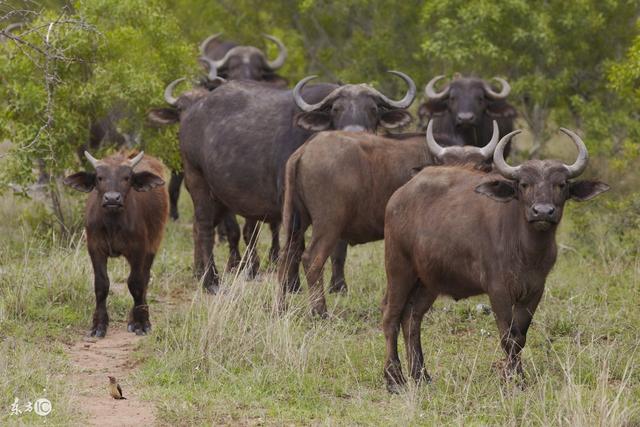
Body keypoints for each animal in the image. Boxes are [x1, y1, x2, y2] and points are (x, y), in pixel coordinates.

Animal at [62, 152, 168, 340]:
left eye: (127, 177)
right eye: (99, 177)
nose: (112, 198)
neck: (112, 224)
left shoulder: (139, 250)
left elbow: (136, 284)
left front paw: (141, 323)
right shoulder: (95, 249)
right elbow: (101, 285)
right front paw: (99, 325)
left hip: (153, 246)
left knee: (145, 279)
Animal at [180, 72, 418, 294]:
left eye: (373, 108)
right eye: (336, 109)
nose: (355, 132)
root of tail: (192, 113)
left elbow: (339, 248)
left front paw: (338, 285)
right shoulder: (290, 202)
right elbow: (296, 244)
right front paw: (292, 285)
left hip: (221, 196)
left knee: (201, 226)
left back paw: (200, 272)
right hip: (196, 179)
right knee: (204, 227)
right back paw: (211, 281)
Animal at [278, 122, 498, 316]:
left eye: (477, 167)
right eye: (446, 166)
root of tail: (306, 149)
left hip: (296, 221)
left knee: (286, 256)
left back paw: (282, 307)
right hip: (329, 224)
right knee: (312, 258)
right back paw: (320, 311)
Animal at [382, 128, 608, 394]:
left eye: (561, 184)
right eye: (524, 184)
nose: (542, 212)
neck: (526, 250)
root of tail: (398, 196)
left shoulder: (535, 290)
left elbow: (520, 336)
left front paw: (516, 376)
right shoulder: (498, 290)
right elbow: (508, 336)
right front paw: (513, 379)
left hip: (428, 282)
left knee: (412, 319)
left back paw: (420, 375)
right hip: (398, 268)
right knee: (391, 317)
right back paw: (394, 379)